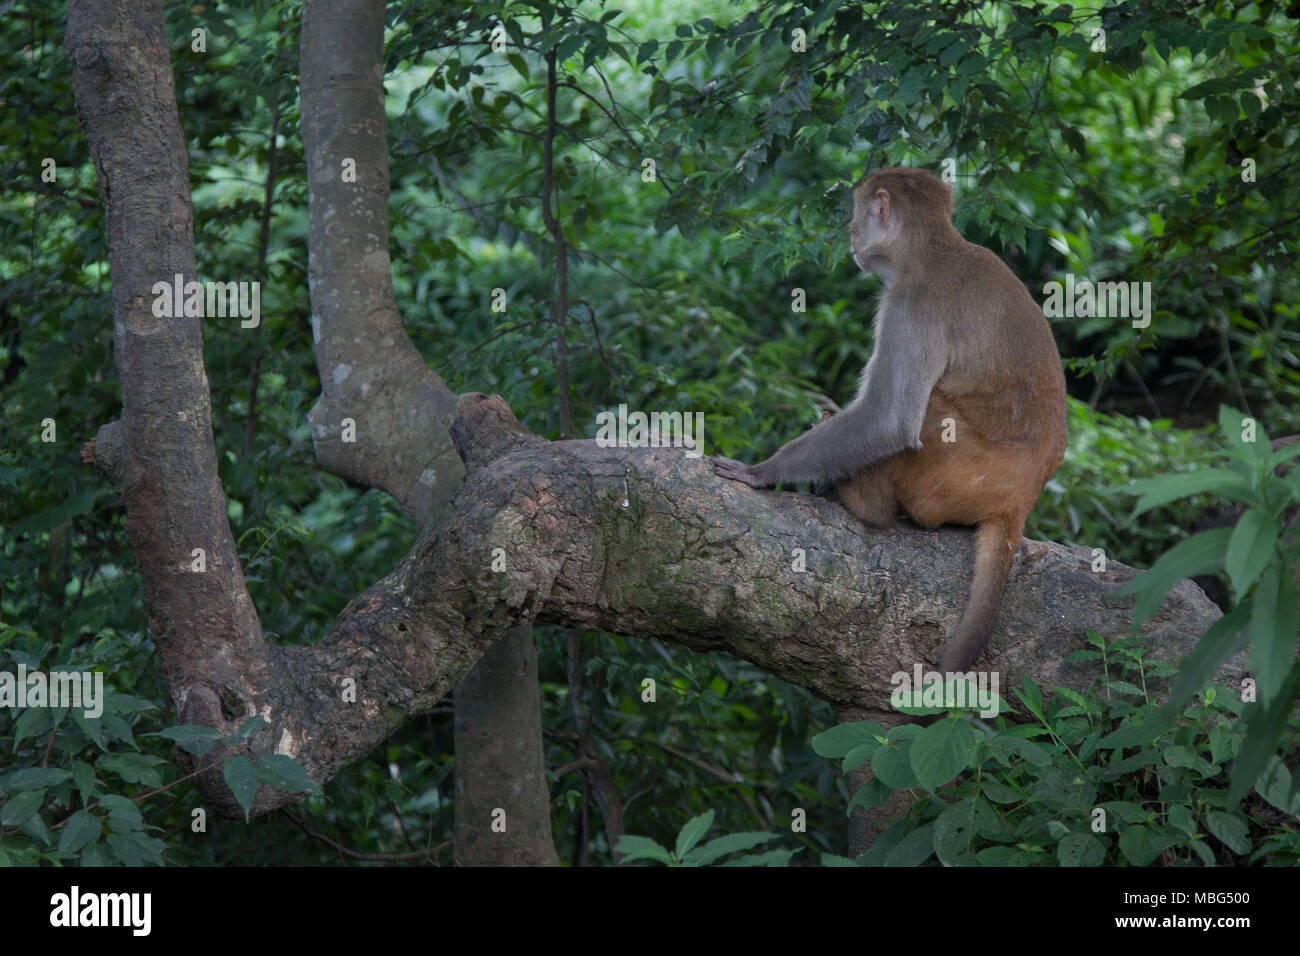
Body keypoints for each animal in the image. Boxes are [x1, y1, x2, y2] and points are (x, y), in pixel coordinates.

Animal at [715, 167, 1067, 674]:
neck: (934, 250)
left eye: (856, 211)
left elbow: (889, 421)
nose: (850, 233)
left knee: (925, 411)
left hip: (953, 475)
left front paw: (762, 472)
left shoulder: (908, 304)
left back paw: (868, 504)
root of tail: (1018, 502)